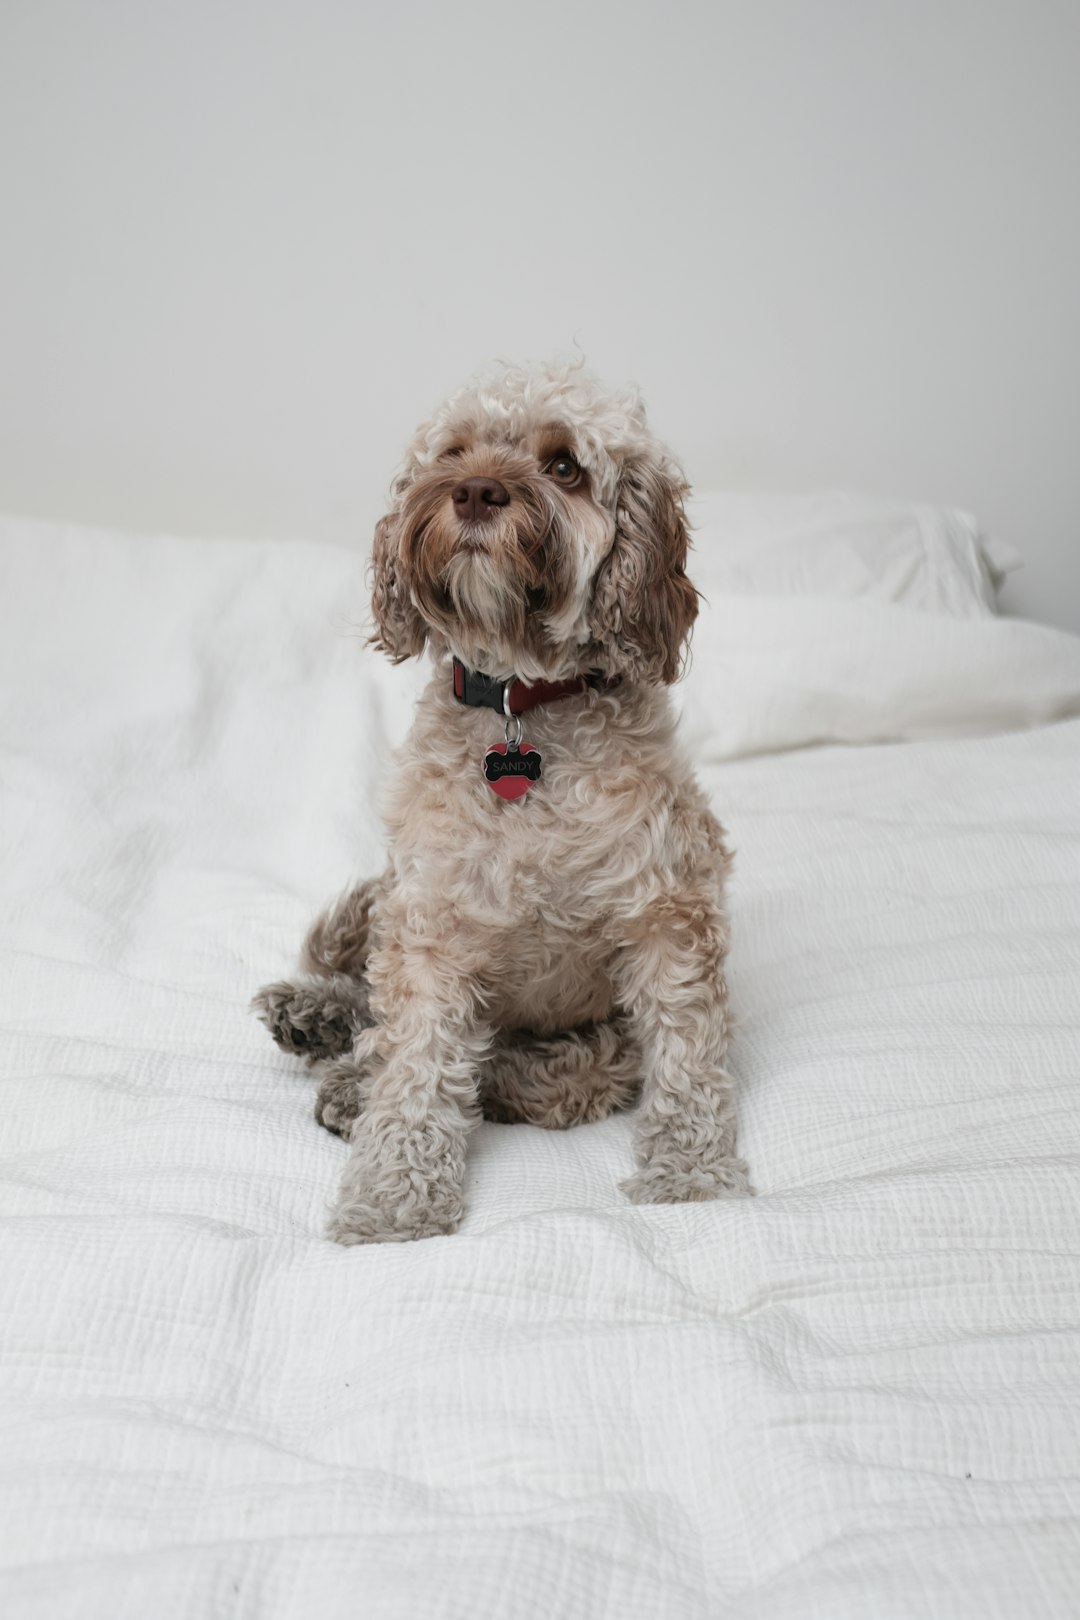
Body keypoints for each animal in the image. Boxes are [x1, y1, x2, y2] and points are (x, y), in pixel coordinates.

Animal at [250, 361, 751, 1244]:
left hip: (595, 1049)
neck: (523, 707)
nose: (478, 491)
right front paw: (393, 1200)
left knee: (533, 1073)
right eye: (454, 451)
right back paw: (316, 1018)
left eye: (565, 466)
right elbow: (415, 1062)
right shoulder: (430, 921)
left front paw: (691, 1176)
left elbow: (686, 1055)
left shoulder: (668, 910)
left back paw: (349, 1076)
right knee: (378, 1012)